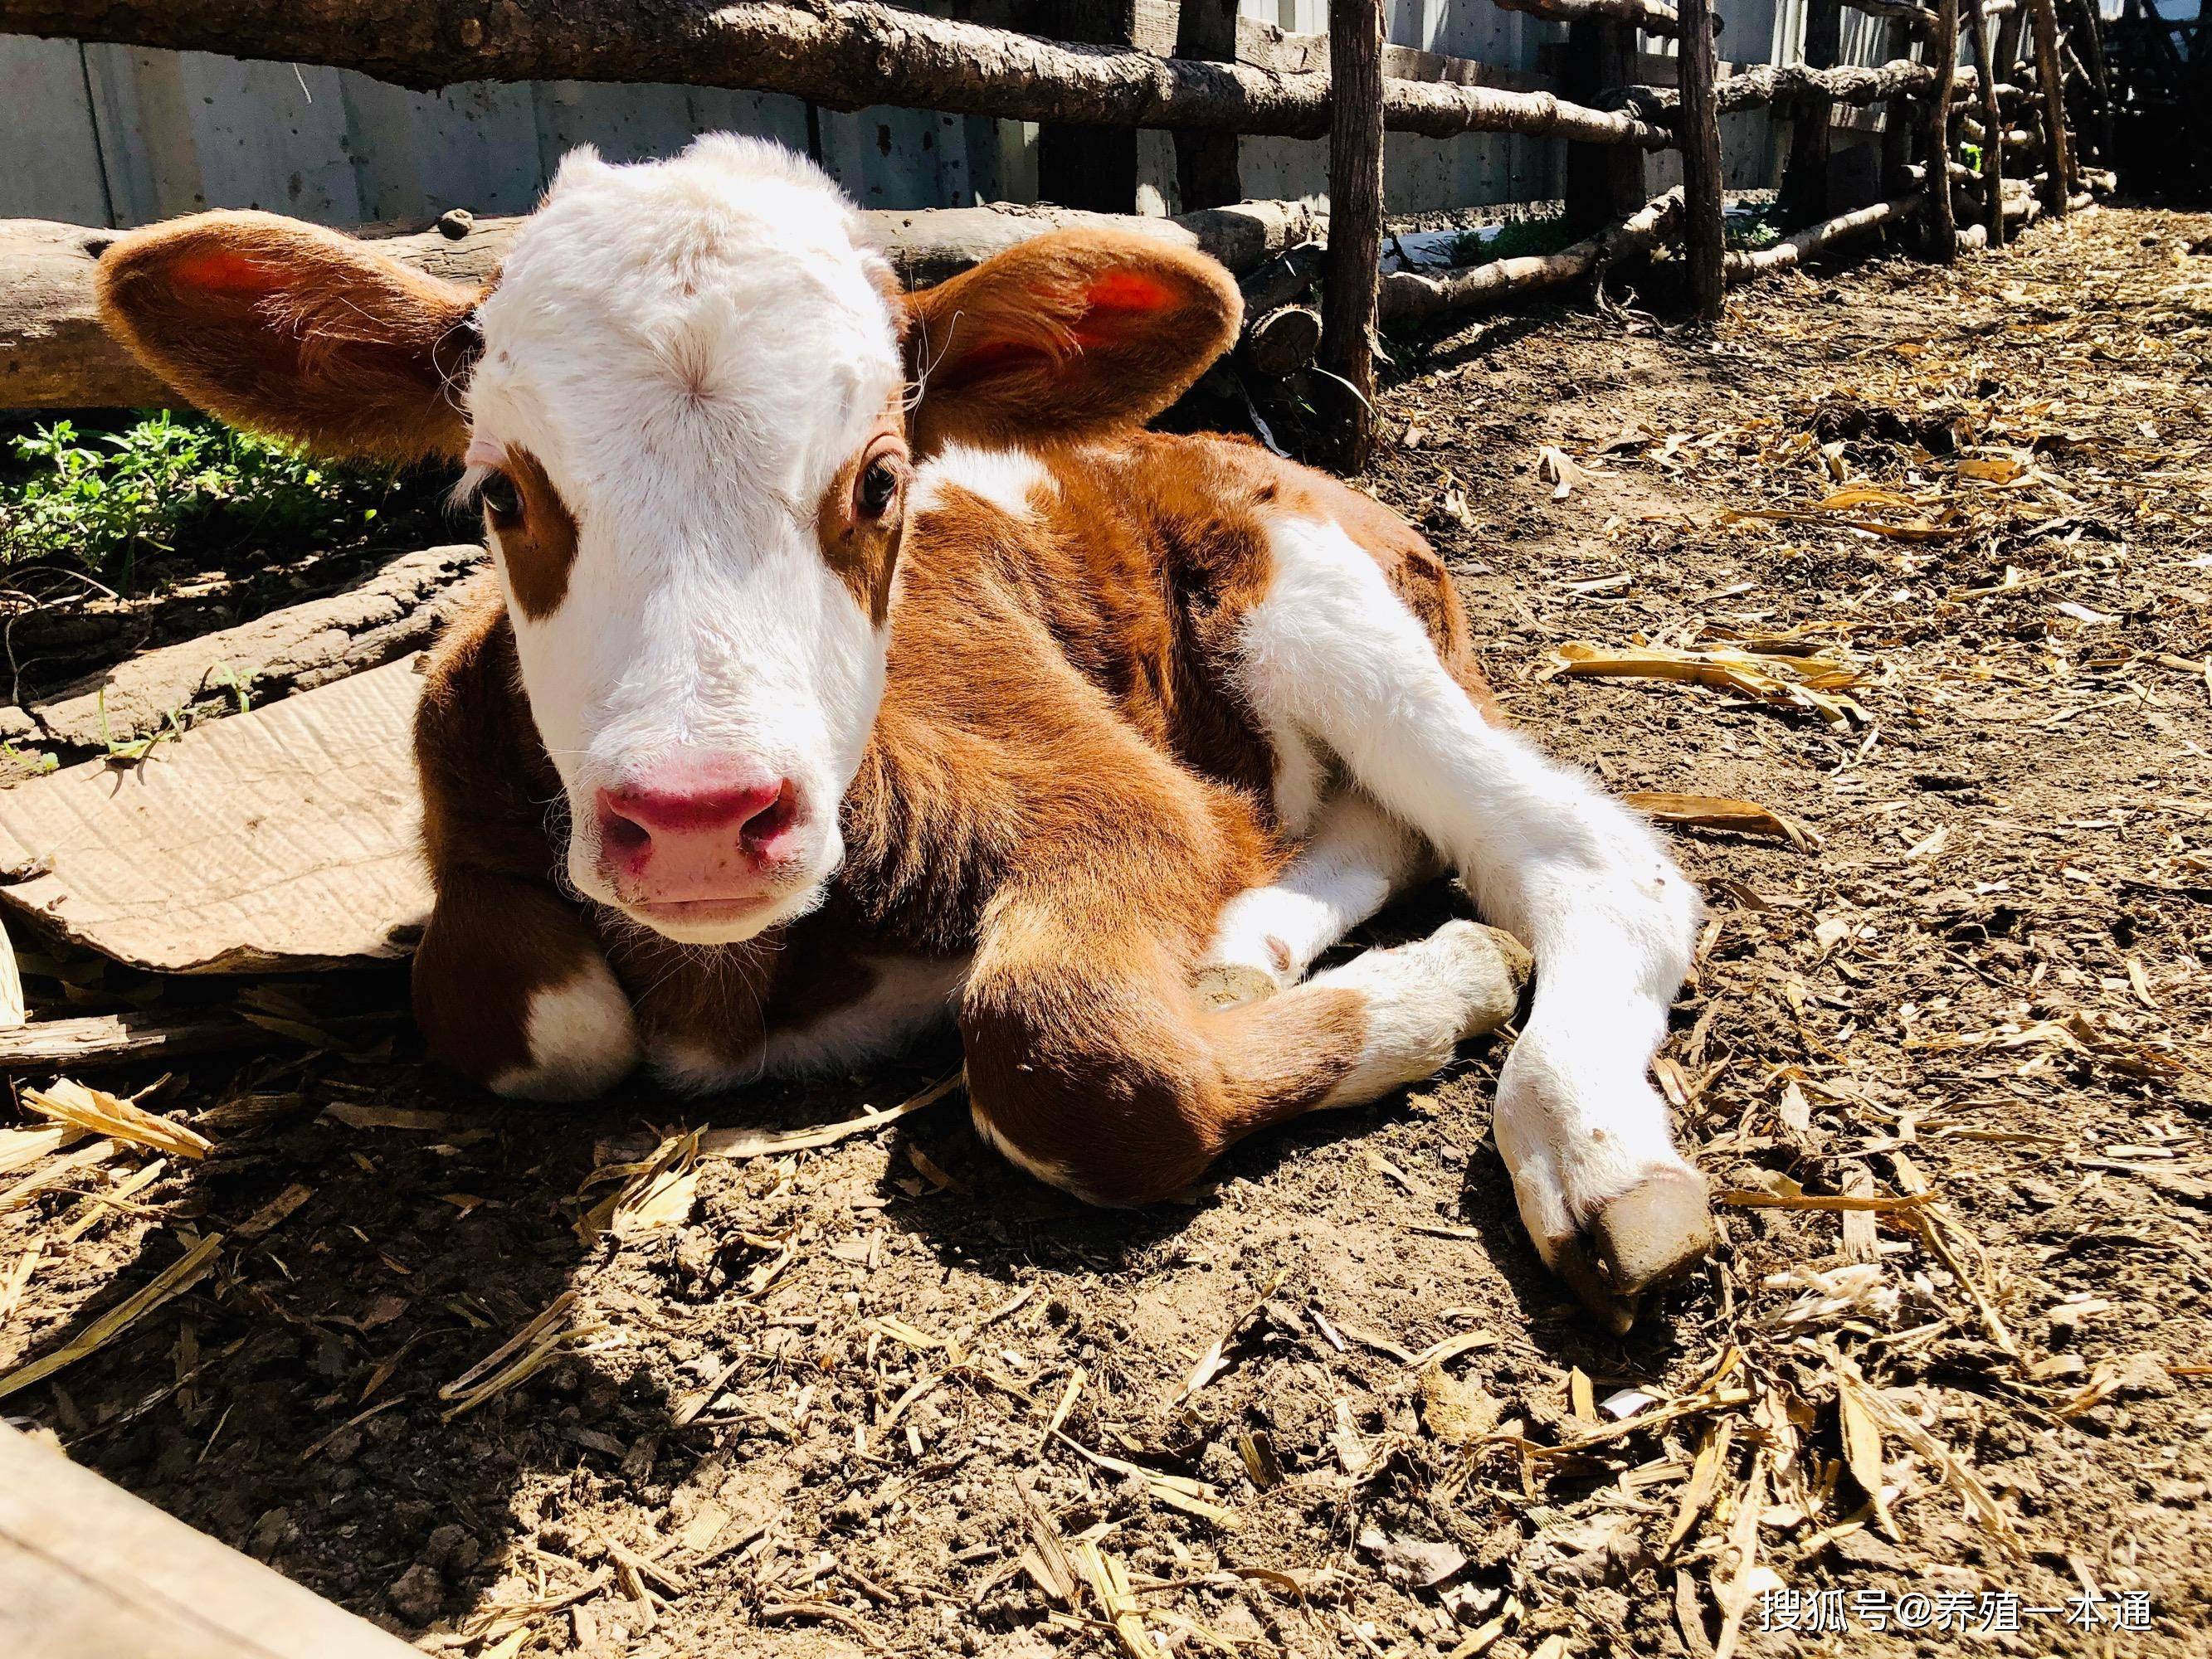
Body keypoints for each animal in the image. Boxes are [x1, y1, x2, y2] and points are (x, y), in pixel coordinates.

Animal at [95, 136, 1716, 1335]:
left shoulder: (1114, 797)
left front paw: (1425, 990)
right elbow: (532, 1015)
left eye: (879, 482)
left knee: (1586, 856)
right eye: (500, 491)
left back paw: (1585, 1144)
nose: (699, 820)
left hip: (1312, 598)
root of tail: (1241, 440)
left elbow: (1067, 1056)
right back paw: (1247, 948)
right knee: (1369, 823)